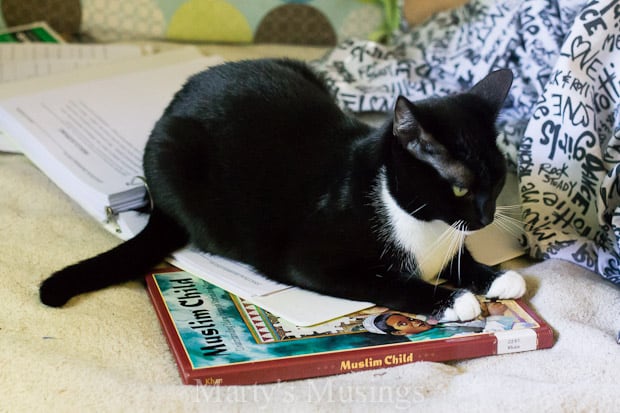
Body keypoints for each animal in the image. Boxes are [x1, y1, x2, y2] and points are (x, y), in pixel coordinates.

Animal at [37, 58, 524, 322]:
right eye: (460, 189)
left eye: (498, 179)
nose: (485, 216)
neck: (420, 225)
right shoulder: (313, 260)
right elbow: (392, 283)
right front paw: (453, 300)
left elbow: (460, 258)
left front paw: (495, 276)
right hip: (174, 154)